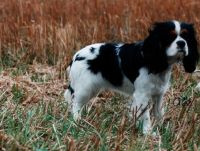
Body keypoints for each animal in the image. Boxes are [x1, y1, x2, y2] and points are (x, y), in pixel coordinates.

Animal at [64, 20, 198, 134]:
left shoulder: (158, 94)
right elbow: (145, 115)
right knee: (75, 104)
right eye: (170, 36)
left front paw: (161, 129)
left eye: (186, 37)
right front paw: (148, 133)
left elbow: (158, 112)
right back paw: (78, 121)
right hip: (85, 88)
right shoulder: (142, 95)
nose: (182, 43)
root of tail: (75, 56)